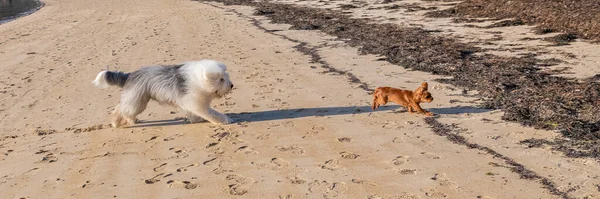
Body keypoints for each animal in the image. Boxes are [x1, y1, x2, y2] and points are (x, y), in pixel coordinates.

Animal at [92, 59, 234, 127]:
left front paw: (195, 119)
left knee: (124, 108)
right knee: (120, 109)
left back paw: (131, 120)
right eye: (221, 79)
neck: (199, 79)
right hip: (137, 100)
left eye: (225, 76)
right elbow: (211, 113)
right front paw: (224, 120)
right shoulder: (196, 103)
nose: (232, 85)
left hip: (138, 99)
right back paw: (115, 123)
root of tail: (131, 75)